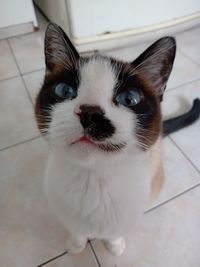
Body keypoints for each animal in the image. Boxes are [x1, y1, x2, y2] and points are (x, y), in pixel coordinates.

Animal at [34, 22, 200, 255]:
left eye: (129, 99)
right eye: (64, 90)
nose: (89, 113)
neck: (93, 180)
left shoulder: (128, 214)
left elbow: (114, 233)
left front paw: (114, 248)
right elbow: (76, 231)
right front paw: (75, 246)